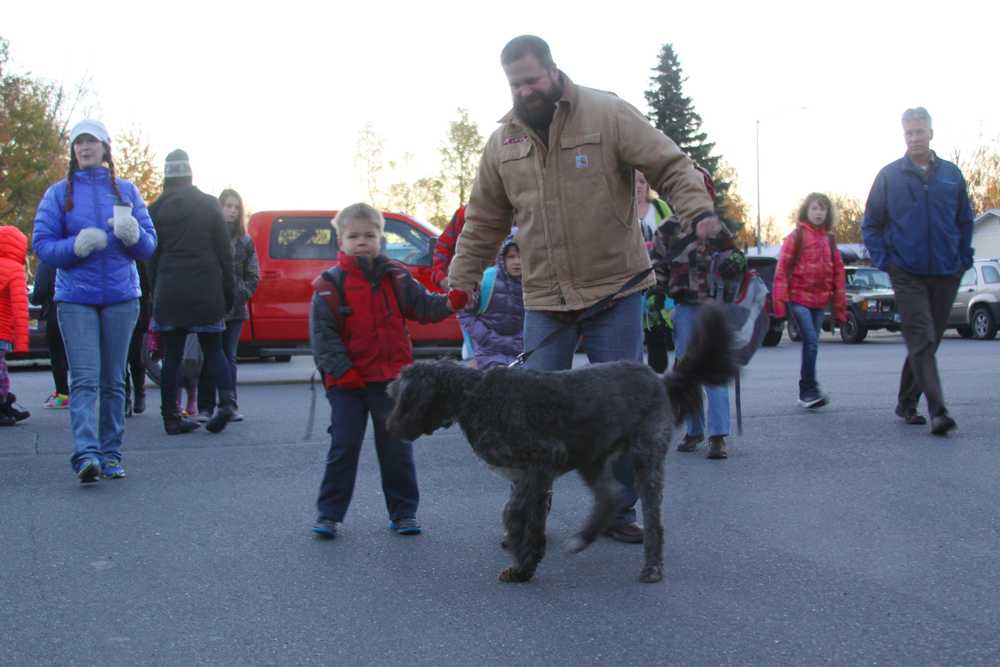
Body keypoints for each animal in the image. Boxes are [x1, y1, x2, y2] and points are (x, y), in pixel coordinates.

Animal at [384, 306, 736, 580]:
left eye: (399, 393)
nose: (389, 427)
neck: (472, 396)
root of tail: (658, 379)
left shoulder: (541, 462)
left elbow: (517, 514)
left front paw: (523, 562)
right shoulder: (529, 475)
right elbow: (522, 516)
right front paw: (522, 561)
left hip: (645, 457)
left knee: (652, 518)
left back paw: (652, 567)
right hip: (592, 459)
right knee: (610, 496)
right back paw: (583, 538)